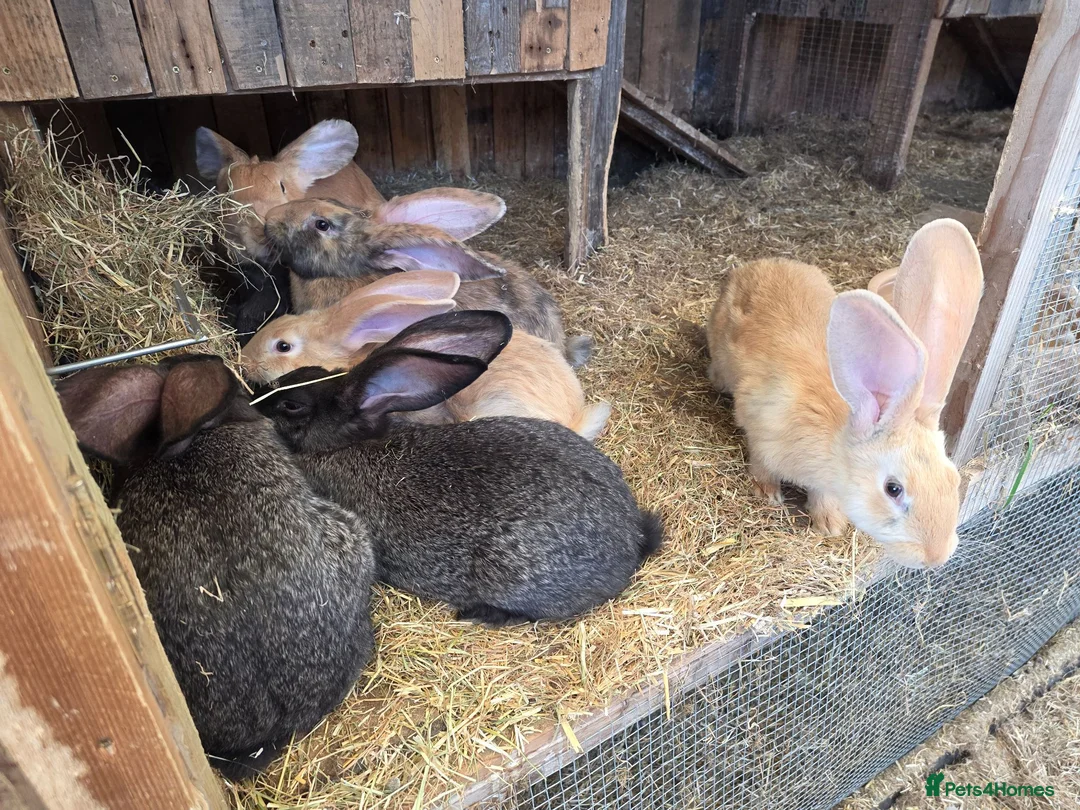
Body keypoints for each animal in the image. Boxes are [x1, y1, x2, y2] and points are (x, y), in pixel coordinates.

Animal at [707, 221, 982, 569]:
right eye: (893, 489)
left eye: (952, 478)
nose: (936, 556)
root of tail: (758, 264)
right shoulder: (761, 429)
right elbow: (761, 464)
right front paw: (768, 494)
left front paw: (829, 524)